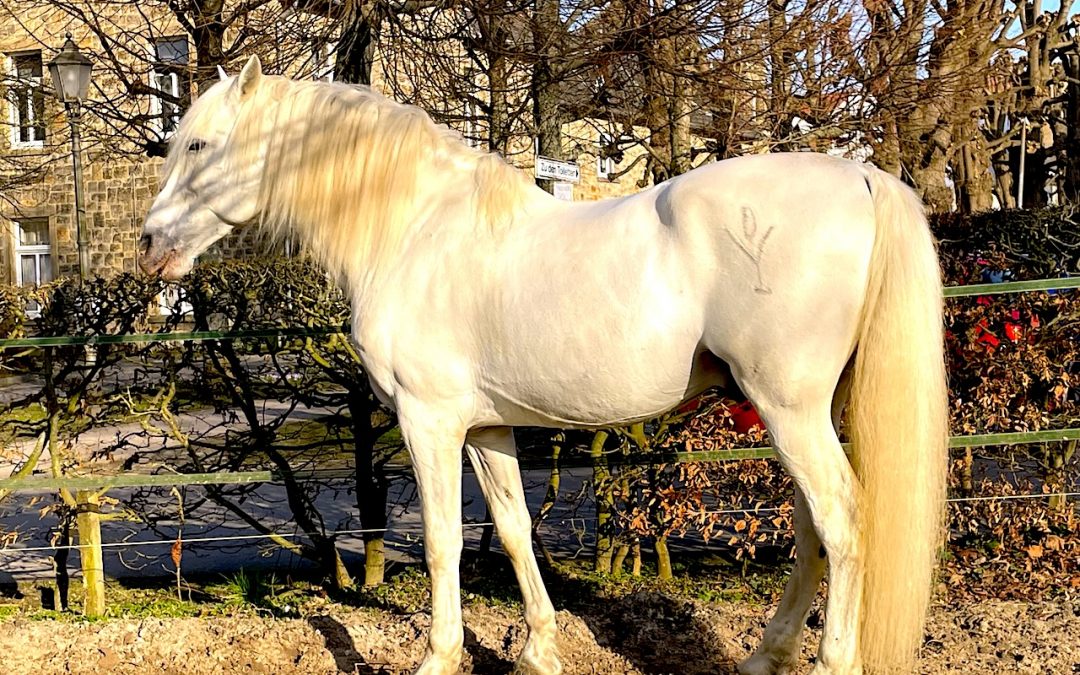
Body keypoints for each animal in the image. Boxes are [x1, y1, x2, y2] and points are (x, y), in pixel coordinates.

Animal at [139, 56, 948, 675]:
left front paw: (439, 656)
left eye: (200, 146)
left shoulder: (428, 423)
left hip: (789, 409)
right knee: (814, 528)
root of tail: (863, 180)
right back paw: (765, 654)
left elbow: (441, 539)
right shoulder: (487, 429)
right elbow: (513, 527)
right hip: (809, 413)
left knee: (841, 521)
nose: (149, 246)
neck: (415, 229)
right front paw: (538, 649)